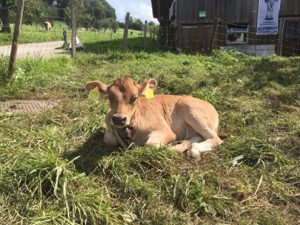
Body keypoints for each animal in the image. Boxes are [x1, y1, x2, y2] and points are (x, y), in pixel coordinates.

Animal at [85, 77, 224, 160]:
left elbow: (150, 144)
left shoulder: (166, 131)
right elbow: (109, 140)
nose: (119, 119)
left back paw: (193, 150)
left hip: (191, 111)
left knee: (215, 139)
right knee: (198, 137)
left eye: (134, 98)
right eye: (110, 97)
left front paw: (172, 145)